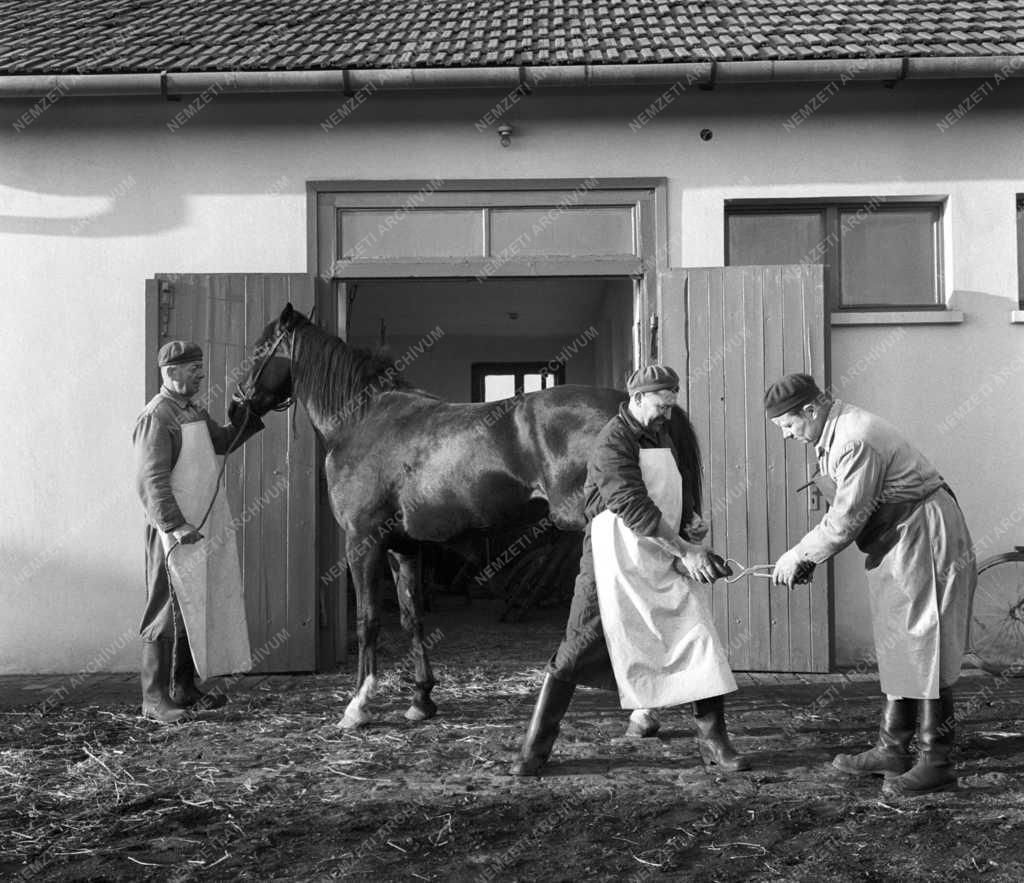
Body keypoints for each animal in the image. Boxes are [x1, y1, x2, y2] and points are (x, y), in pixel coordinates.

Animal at [237, 303, 704, 733]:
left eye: (260, 348)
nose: (239, 400)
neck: (362, 421)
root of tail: (634, 413)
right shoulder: (403, 547)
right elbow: (411, 617)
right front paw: (421, 699)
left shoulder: (362, 542)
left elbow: (368, 620)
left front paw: (358, 705)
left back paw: (644, 710)